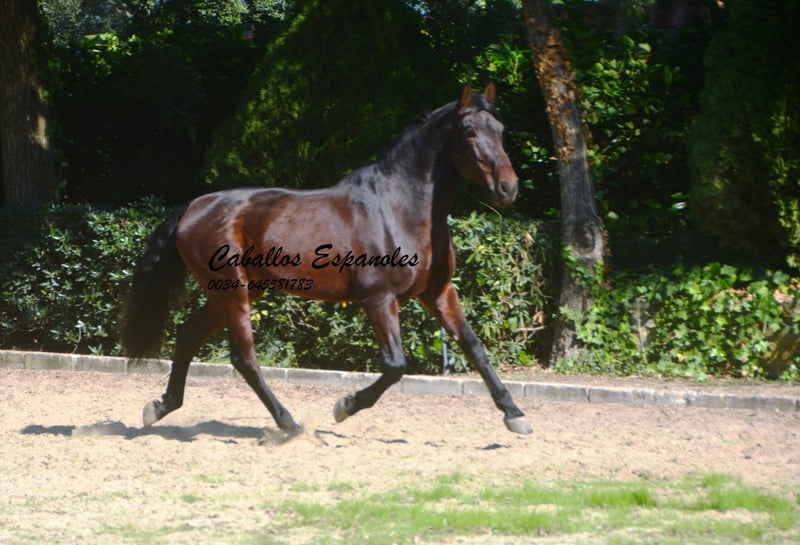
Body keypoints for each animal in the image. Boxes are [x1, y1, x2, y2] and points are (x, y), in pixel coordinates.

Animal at [120, 83, 533, 436]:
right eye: (469, 132)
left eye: (500, 128)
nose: (508, 188)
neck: (400, 208)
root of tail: (195, 206)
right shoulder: (379, 299)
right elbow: (395, 366)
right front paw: (344, 406)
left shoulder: (439, 293)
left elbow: (475, 348)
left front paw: (514, 415)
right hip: (232, 291)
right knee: (245, 358)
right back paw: (287, 423)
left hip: (236, 291)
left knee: (190, 336)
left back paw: (160, 407)